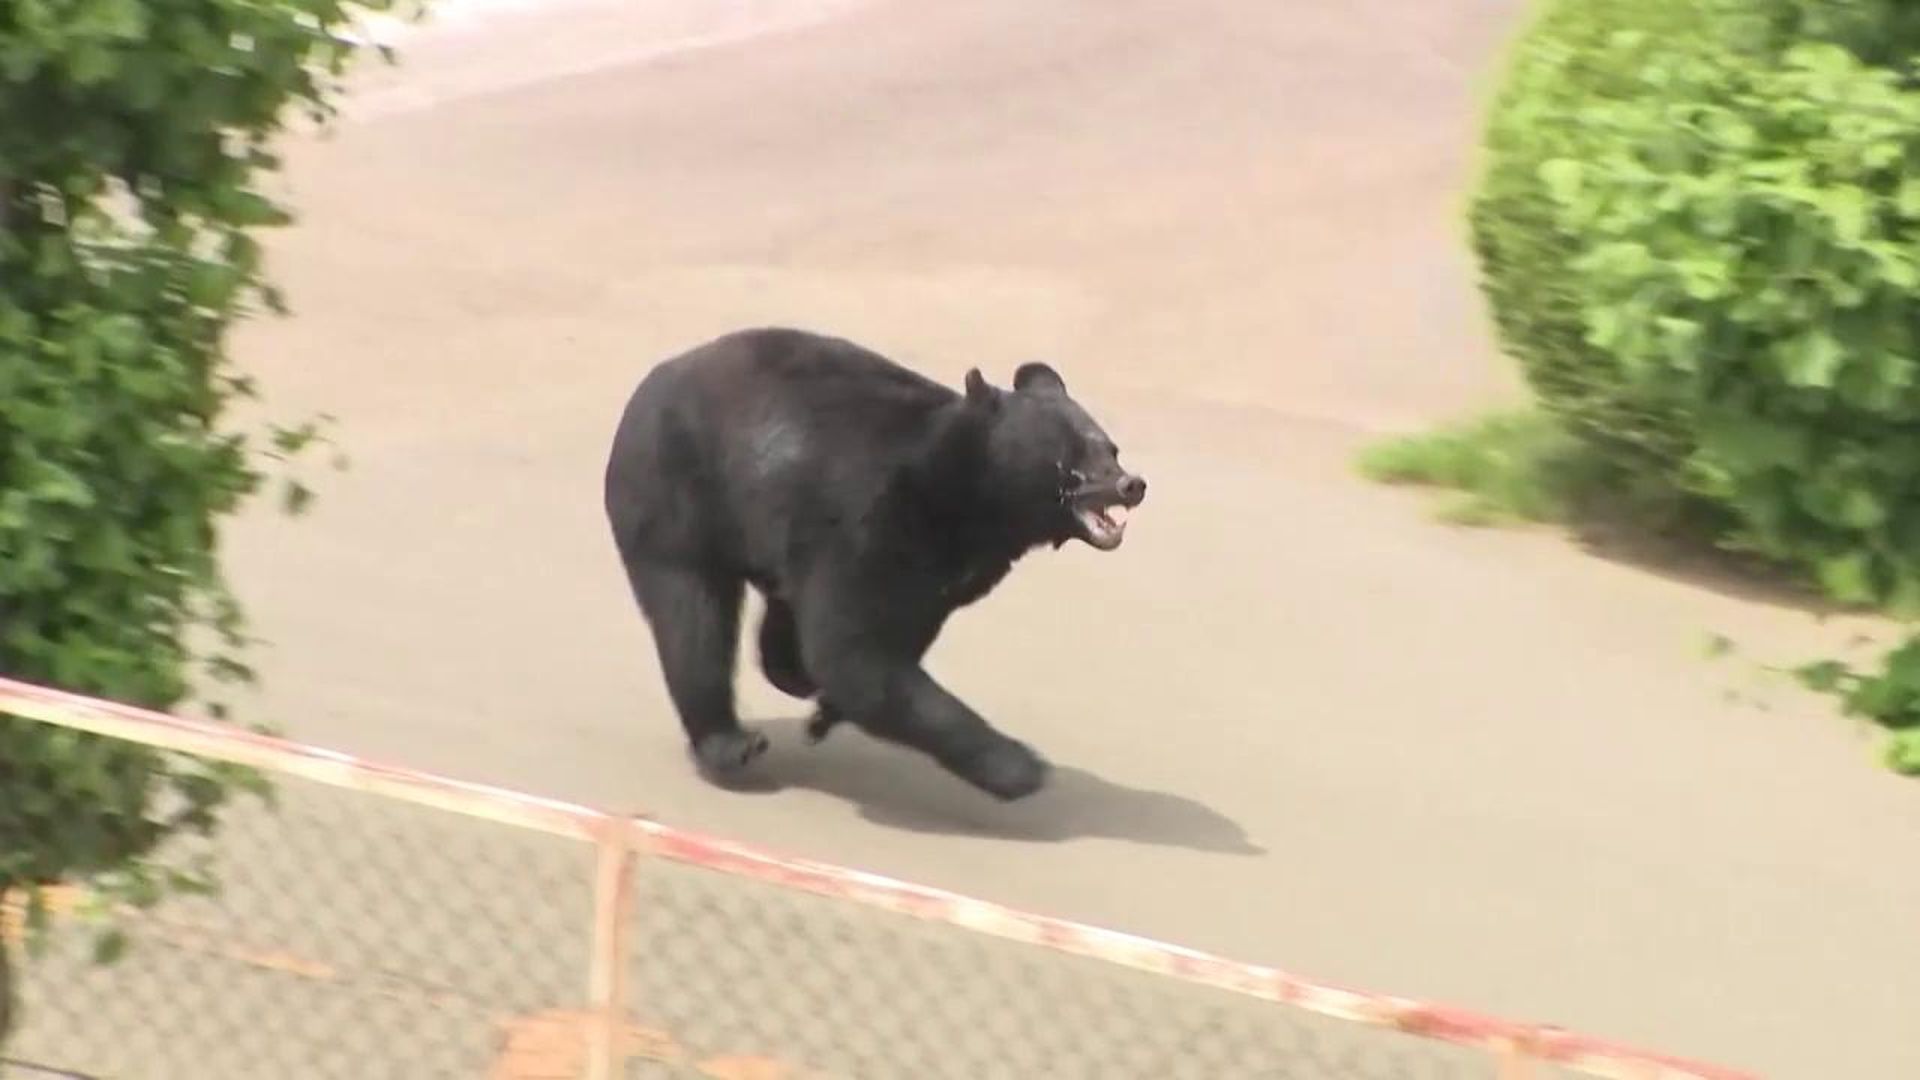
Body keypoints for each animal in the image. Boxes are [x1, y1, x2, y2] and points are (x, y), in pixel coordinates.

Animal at [601, 326, 1147, 802]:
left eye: (1111, 448)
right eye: (1072, 459)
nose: (1132, 484)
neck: (968, 502)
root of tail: (651, 381)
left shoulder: (948, 572)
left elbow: (892, 637)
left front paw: (820, 705)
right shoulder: (865, 521)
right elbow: (851, 653)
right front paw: (1019, 766)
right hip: (672, 495)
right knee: (693, 620)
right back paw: (732, 743)